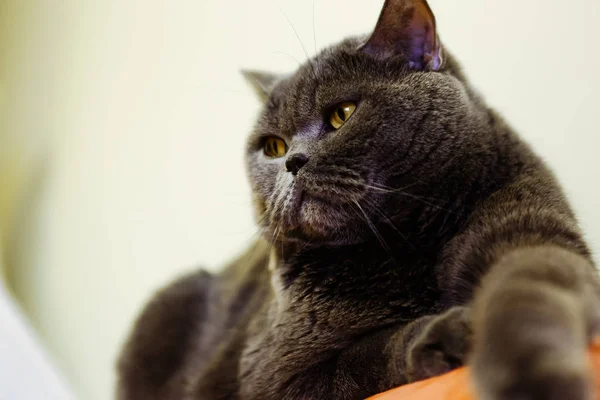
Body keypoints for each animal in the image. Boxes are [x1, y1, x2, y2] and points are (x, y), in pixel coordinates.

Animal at [116, 0, 600, 400]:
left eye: (342, 114)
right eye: (272, 146)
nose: (292, 161)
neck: (402, 242)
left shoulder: (535, 238)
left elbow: (530, 298)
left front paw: (533, 376)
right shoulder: (273, 375)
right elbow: (367, 357)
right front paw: (443, 333)